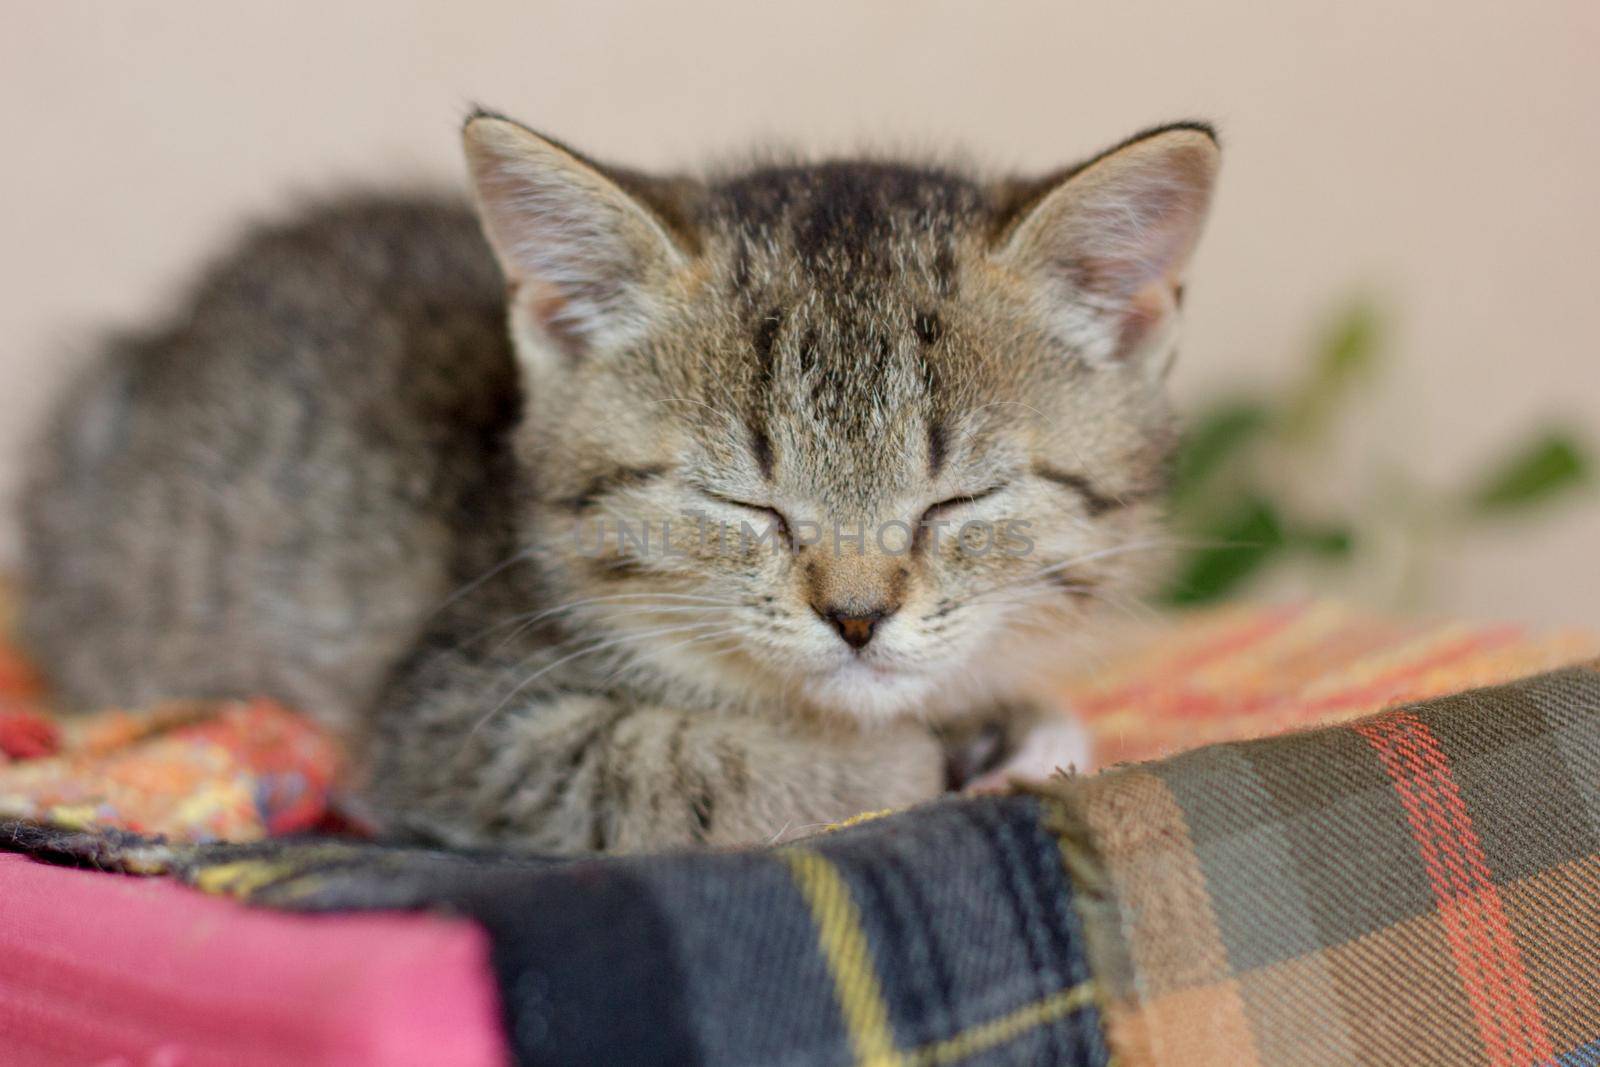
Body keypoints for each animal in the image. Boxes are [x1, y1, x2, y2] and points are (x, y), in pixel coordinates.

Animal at [18, 112, 1216, 857]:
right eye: (744, 504)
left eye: (957, 501)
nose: (856, 616)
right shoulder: (455, 724)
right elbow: (686, 766)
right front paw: (903, 759)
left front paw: (1011, 725)